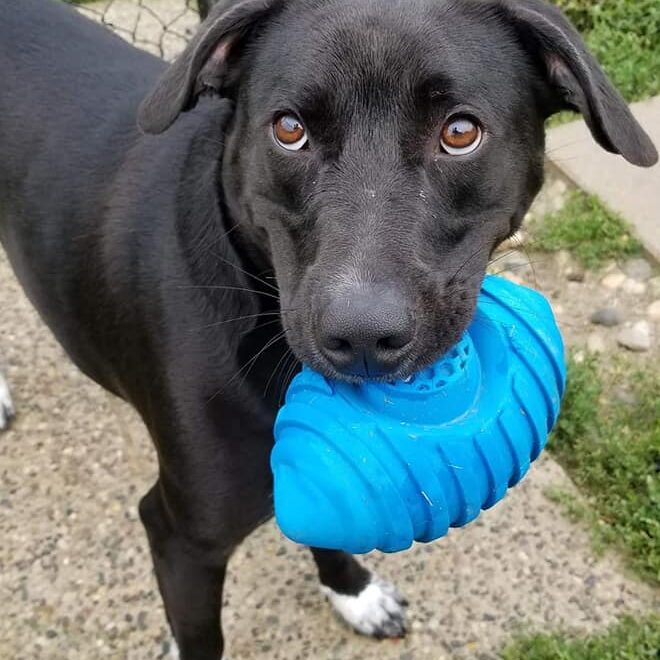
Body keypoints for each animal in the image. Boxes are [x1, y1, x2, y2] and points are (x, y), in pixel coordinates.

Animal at [1, 0, 656, 656]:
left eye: (460, 132)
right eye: (289, 129)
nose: (363, 336)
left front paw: (353, 593)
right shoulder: (181, 537)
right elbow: (201, 636)